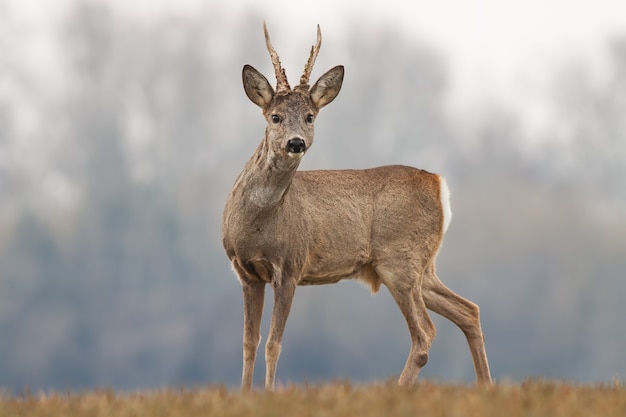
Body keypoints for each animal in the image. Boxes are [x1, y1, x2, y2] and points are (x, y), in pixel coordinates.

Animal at [222, 22, 490, 388]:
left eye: (309, 116)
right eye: (275, 117)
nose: (296, 143)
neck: (258, 223)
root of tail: (439, 184)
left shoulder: (290, 266)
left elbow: (273, 344)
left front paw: (267, 393)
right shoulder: (246, 273)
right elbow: (249, 342)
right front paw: (246, 393)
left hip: (400, 260)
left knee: (425, 335)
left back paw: (399, 389)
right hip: (421, 267)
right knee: (469, 310)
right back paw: (486, 386)